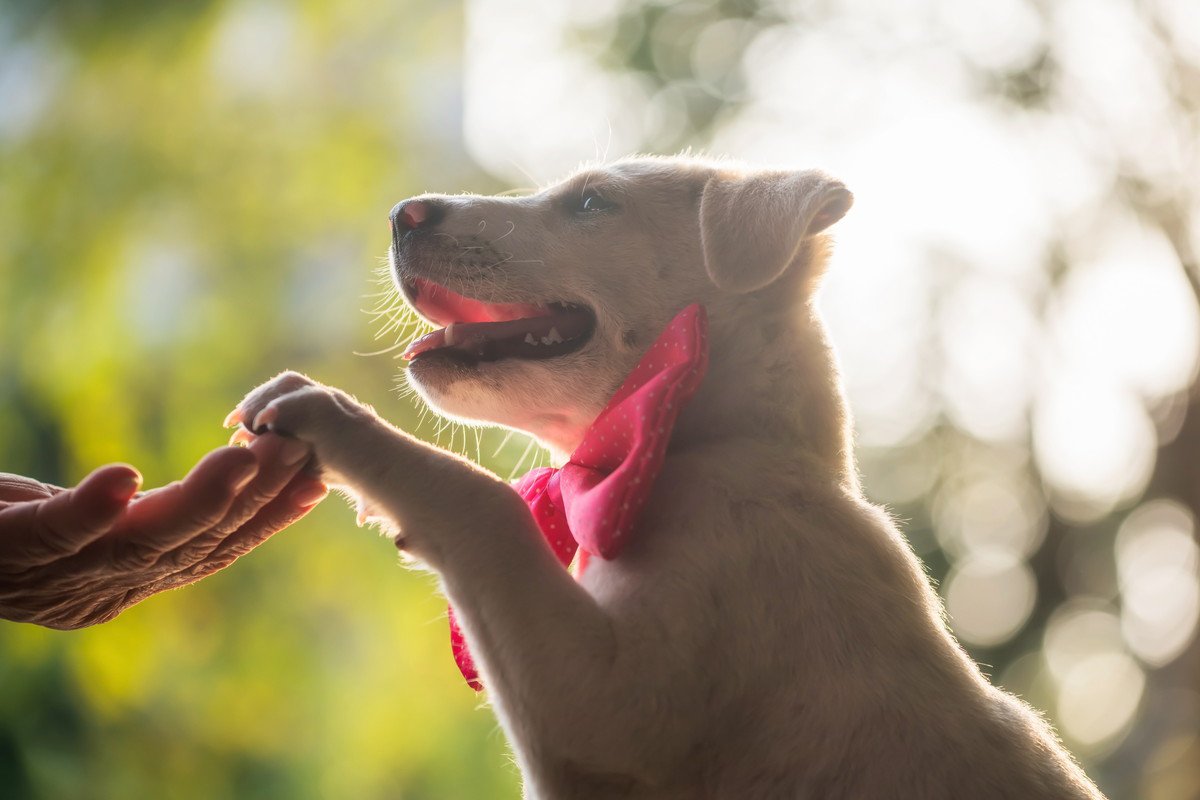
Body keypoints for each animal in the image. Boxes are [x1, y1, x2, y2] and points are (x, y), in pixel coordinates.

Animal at [231, 153, 1104, 796]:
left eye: (592, 204)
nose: (402, 215)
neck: (703, 451)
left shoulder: (607, 712)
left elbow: (484, 507)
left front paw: (332, 417)